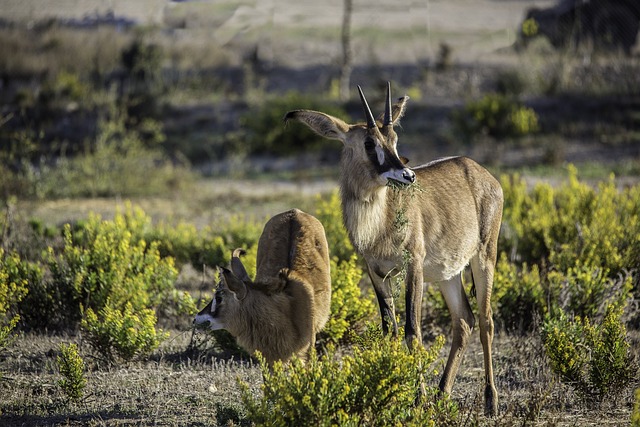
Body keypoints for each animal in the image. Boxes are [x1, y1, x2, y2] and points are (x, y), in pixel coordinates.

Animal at [282, 84, 502, 418]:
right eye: (368, 143)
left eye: (394, 139)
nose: (407, 175)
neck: (379, 221)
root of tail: (480, 172)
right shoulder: (376, 273)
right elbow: (391, 331)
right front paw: (397, 395)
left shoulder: (413, 267)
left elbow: (413, 331)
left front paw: (417, 400)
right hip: (448, 274)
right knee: (464, 320)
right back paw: (442, 395)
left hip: (484, 257)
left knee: (486, 319)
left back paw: (490, 400)